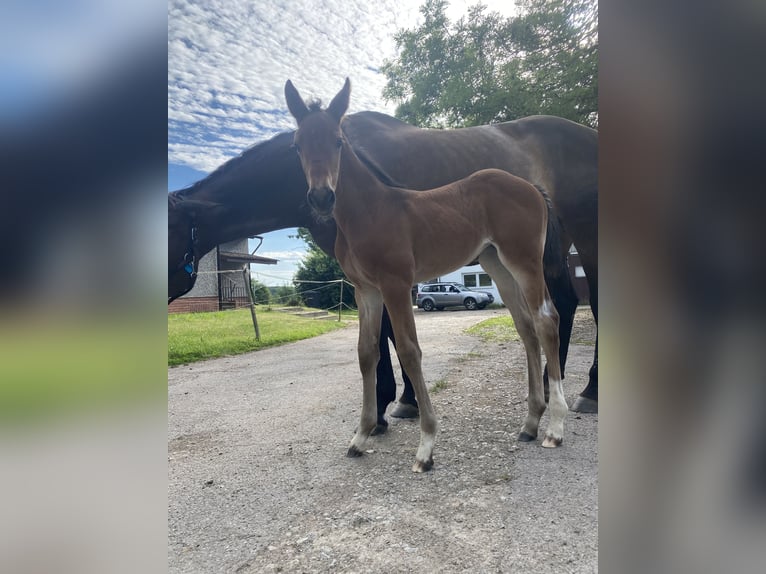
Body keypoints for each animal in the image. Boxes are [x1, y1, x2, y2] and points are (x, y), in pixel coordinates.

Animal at [168, 101, 597, 416]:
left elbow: (389, 329)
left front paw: (390, 404)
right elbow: (385, 329)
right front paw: (400, 399)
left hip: (584, 238)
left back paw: (588, 392)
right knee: (562, 303)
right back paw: (550, 387)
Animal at [284, 78, 567, 472]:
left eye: (338, 141)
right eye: (297, 145)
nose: (322, 197)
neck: (369, 211)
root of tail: (532, 189)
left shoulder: (397, 285)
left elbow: (408, 350)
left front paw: (426, 446)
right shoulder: (365, 290)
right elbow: (366, 353)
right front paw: (360, 437)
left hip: (524, 261)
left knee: (546, 320)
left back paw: (555, 428)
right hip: (497, 265)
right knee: (526, 327)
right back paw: (529, 423)